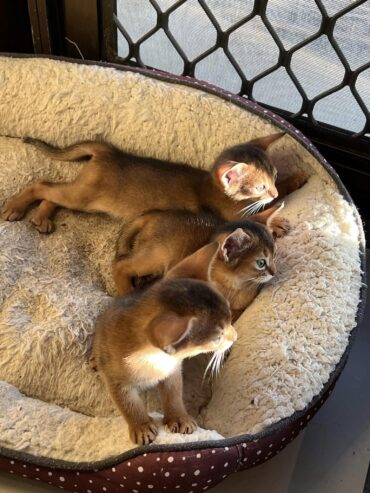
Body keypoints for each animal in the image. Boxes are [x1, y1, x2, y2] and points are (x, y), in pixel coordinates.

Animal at [0, 131, 286, 231]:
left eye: (274, 177)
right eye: (260, 187)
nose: (274, 193)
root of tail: (110, 152)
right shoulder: (231, 216)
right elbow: (256, 218)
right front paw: (278, 222)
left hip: (80, 196)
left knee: (52, 193)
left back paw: (41, 217)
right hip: (83, 196)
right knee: (41, 185)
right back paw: (15, 207)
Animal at [89, 243, 237, 446]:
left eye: (230, 318)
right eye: (217, 338)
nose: (235, 336)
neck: (154, 358)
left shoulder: (172, 369)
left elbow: (174, 394)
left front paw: (179, 417)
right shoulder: (116, 379)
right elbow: (129, 405)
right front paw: (141, 426)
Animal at [113, 207, 280, 316]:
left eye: (274, 255)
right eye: (261, 263)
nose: (274, 272)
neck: (232, 286)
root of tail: (156, 213)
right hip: (155, 256)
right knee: (120, 265)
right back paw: (126, 293)